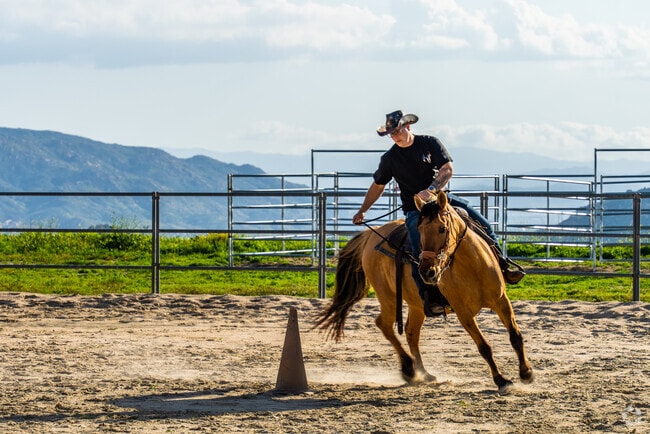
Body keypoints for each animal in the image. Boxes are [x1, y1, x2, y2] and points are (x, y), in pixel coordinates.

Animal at [314, 190, 533, 393]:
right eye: (419, 230)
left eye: (442, 228)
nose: (427, 271)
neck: (473, 266)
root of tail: (371, 233)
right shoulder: (463, 313)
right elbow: (484, 347)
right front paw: (501, 380)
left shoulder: (501, 301)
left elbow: (515, 336)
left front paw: (526, 373)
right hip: (388, 297)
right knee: (384, 324)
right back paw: (409, 369)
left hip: (416, 304)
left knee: (411, 332)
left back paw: (424, 373)